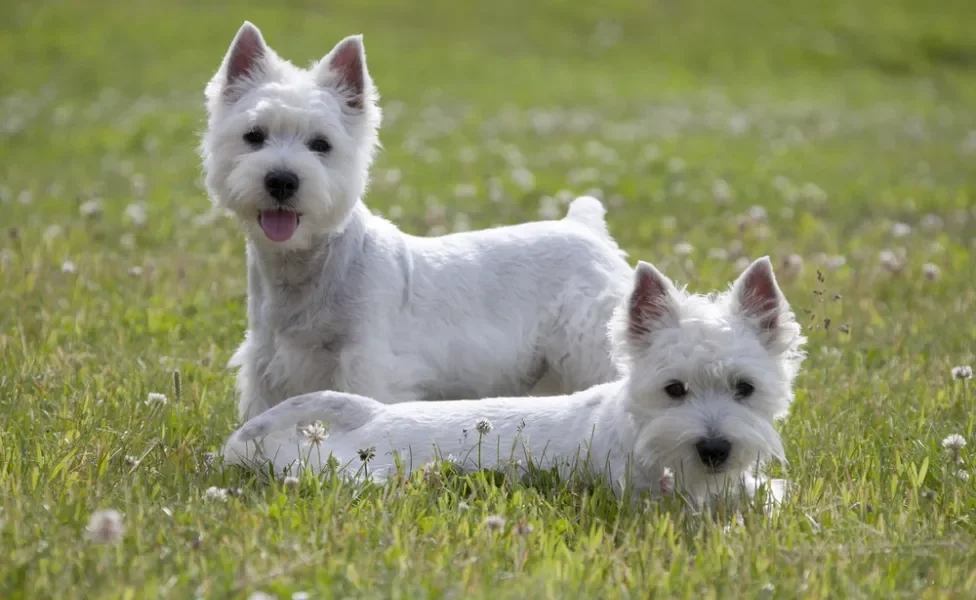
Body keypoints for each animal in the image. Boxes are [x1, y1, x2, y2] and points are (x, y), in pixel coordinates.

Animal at [202, 22, 636, 418]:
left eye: (321, 144)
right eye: (254, 135)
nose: (281, 180)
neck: (305, 267)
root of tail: (582, 225)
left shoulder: (367, 360)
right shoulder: (266, 360)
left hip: (591, 340)